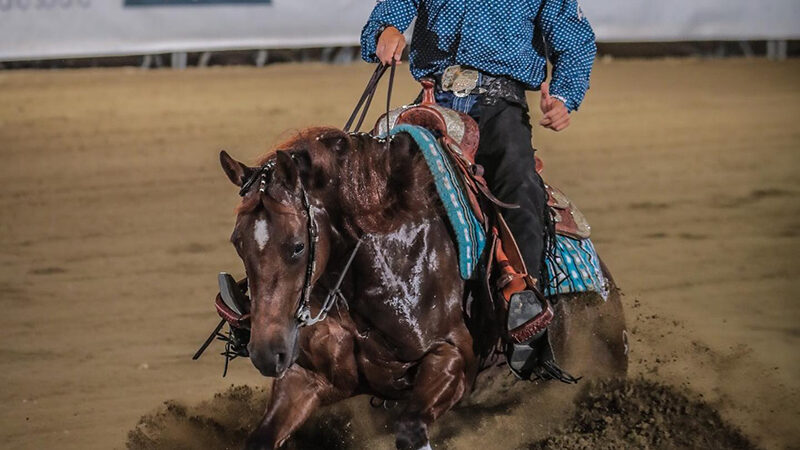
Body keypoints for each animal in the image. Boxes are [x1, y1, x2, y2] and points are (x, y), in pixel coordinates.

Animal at [220, 127, 632, 450]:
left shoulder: (451, 361)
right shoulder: (307, 377)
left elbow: (411, 430)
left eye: (297, 246)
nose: (265, 352)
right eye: (238, 242)